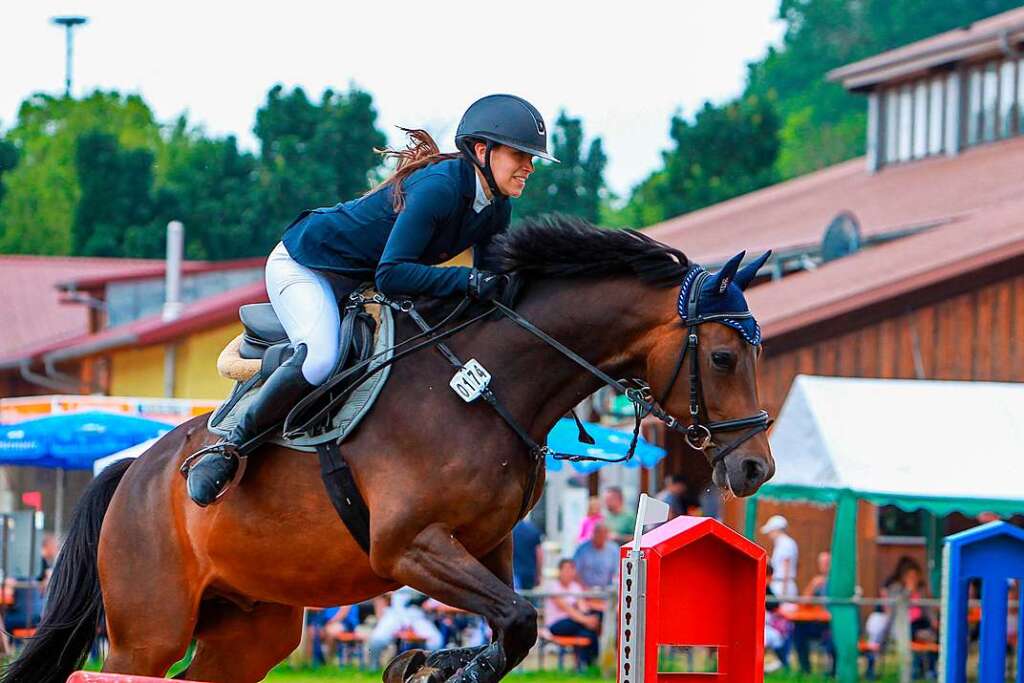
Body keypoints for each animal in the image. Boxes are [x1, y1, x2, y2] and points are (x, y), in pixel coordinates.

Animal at [2, 219, 774, 683]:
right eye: (725, 355)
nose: (755, 467)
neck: (489, 387)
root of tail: (134, 471)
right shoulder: (407, 546)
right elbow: (518, 619)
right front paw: (440, 664)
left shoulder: (486, 547)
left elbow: (516, 624)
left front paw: (435, 661)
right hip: (149, 628)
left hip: (251, 626)